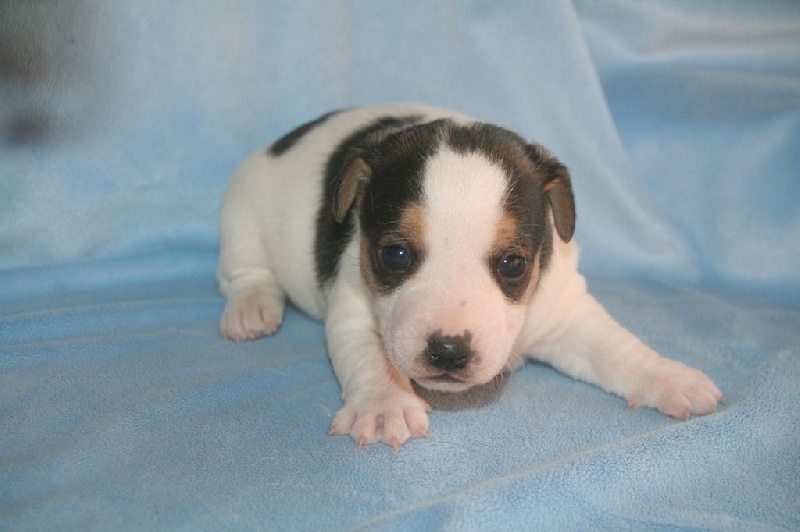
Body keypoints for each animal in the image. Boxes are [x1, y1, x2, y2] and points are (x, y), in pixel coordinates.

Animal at [219, 104, 724, 448]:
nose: (448, 350)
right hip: (242, 208)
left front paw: (669, 376)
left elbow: (616, 348)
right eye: (395, 254)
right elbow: (371, 358)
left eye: (513, 264)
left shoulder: (565, 313)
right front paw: (384, 404)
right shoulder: (352, 309)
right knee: (245, 271)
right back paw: (251, 308)